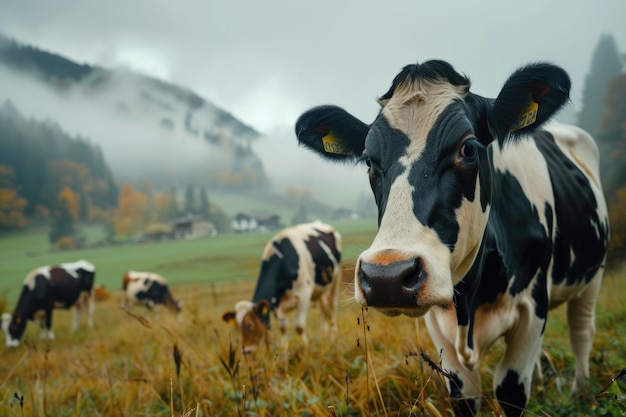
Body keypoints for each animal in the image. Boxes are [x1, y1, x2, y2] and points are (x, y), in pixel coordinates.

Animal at [222, 219, 342, 352]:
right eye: (237, 327)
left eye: (249, 324)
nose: (246, 350)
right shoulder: (277, 304)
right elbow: (283, 328)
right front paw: (283, 350)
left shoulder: (304, 293)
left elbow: (299, 326)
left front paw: (306, 349)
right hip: (320, 289)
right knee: (324, 310)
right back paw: (323, 337)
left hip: (335, 279)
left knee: (333, 307)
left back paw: (334, 336)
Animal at [294, 59, 608, 416]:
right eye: (369, 160)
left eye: (468, 148)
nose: (387, 276)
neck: (472, 299)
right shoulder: (439, 324)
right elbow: (465, 395)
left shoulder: (533, 305)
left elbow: (511, 391)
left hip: (592, 275)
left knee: (581, 330)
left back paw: (581, 391)